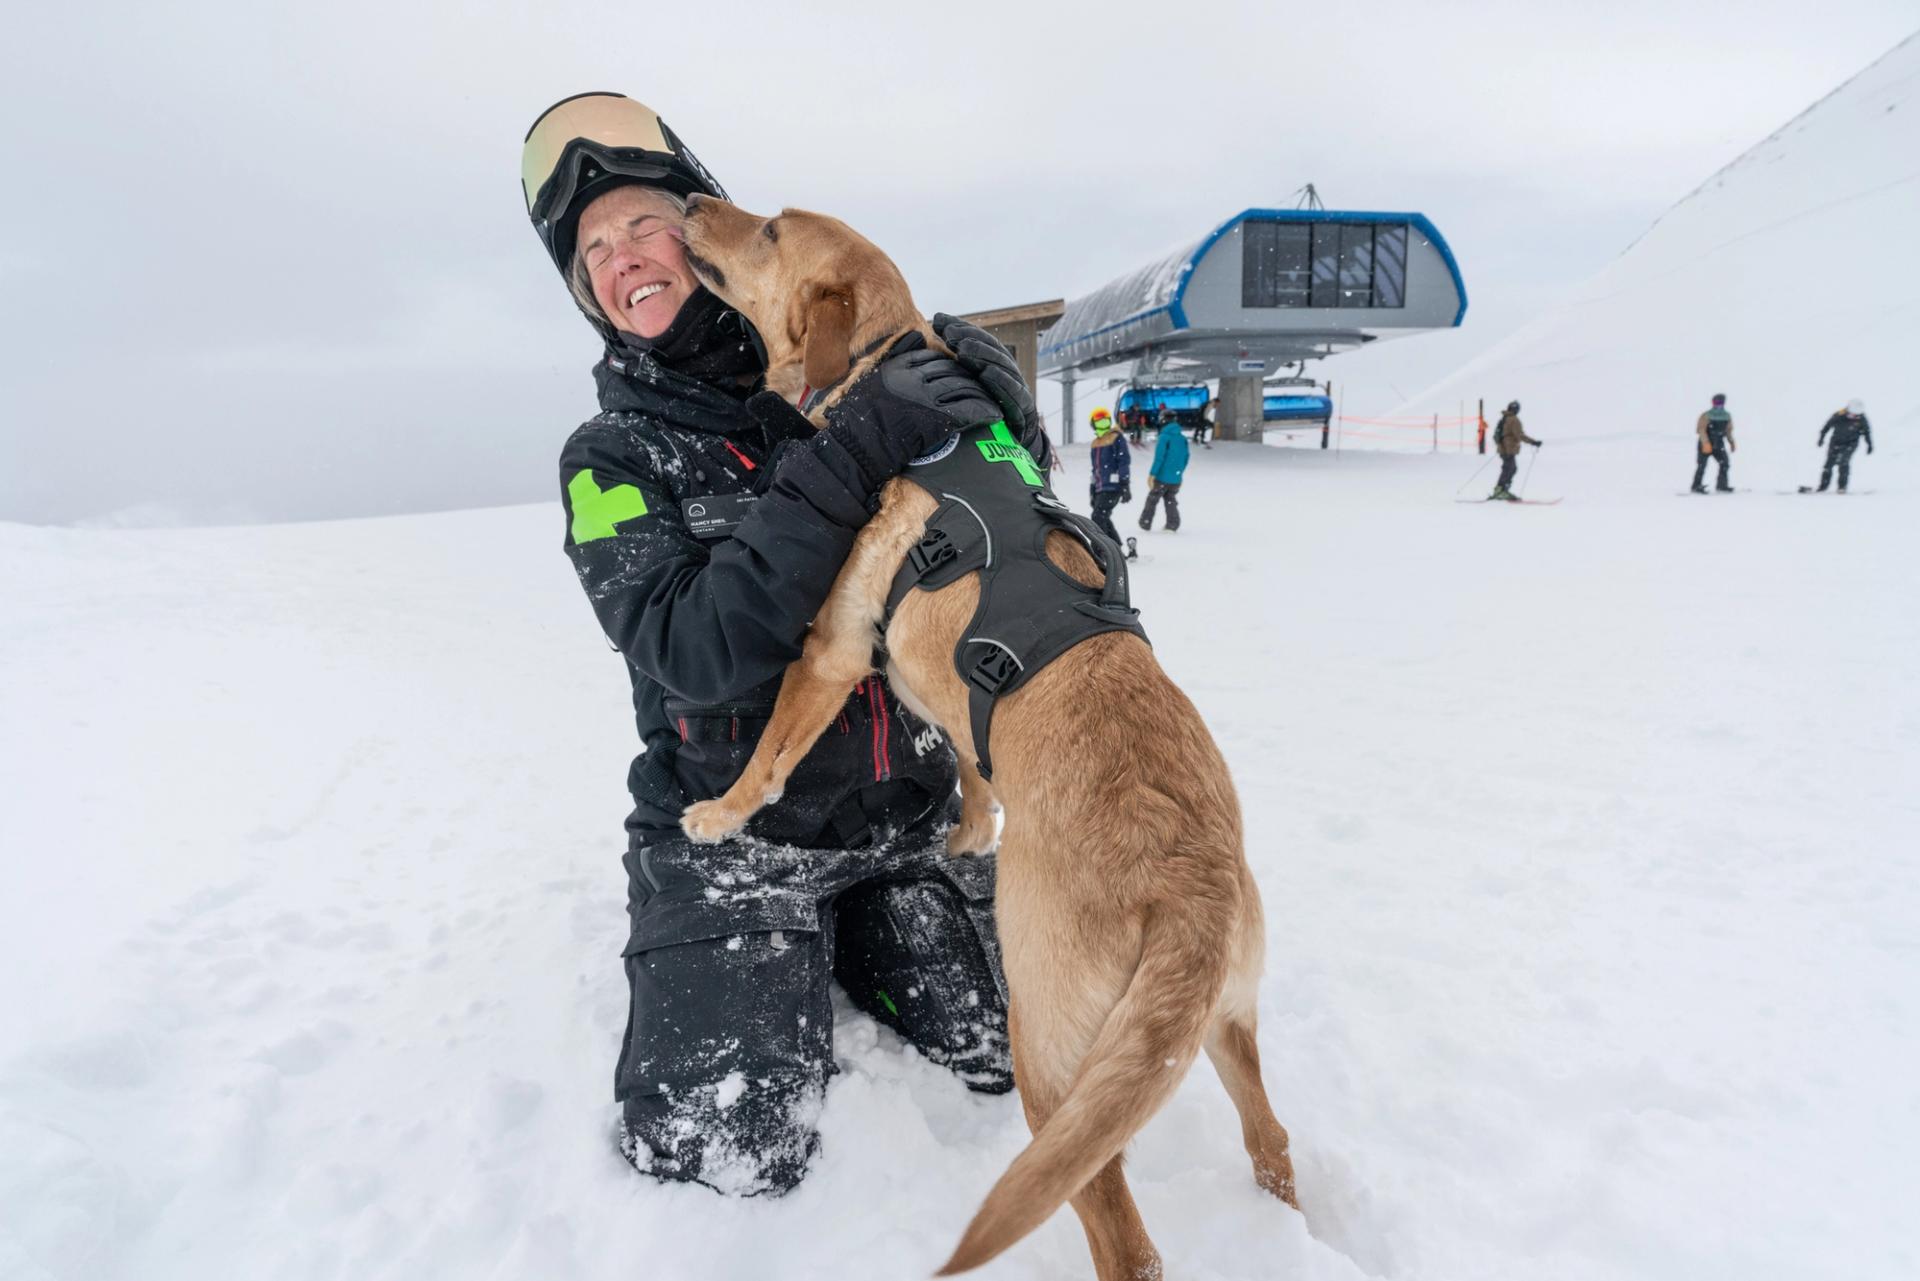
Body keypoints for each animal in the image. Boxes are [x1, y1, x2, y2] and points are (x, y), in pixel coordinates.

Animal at [683, 195, 1297, 1275]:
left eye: (770, 231)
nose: (687, 203)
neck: (887, 378)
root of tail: (1191, 892)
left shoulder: (832, 651)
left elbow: (769, 759)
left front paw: (719, 815)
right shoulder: (938, 690)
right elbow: (972, 764)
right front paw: (970, 832)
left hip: (1052, 1069)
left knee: (1123, 1238)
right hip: (1219, 1028)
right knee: (1272, 1137)